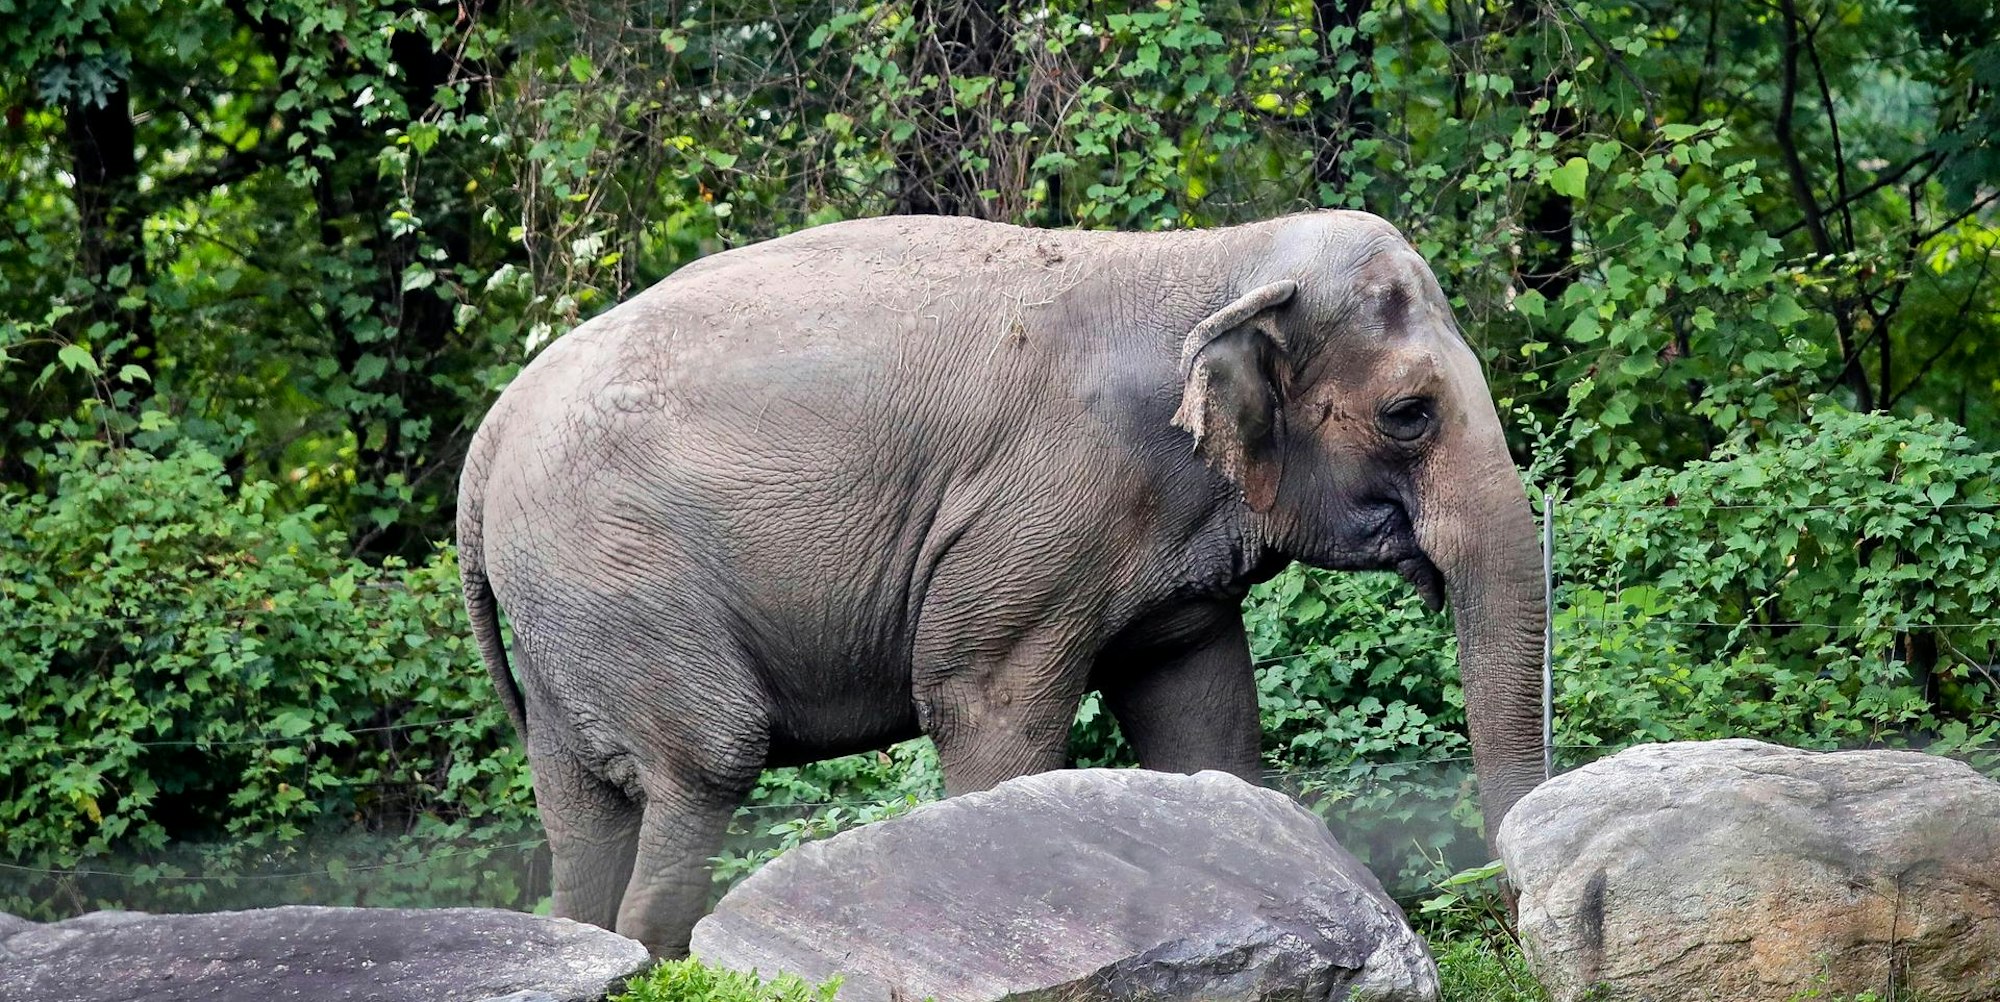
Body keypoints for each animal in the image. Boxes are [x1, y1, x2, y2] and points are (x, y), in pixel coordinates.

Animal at [457, 210, 1549, 957]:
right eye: (1408, 414)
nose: (1509, 918)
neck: (1213, 258)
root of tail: (490, 435)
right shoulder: (1040, 511)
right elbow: (986, 707)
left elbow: (1203, 718)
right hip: (619, 574)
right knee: (705, 765)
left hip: (565, 614)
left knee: (580, 809)